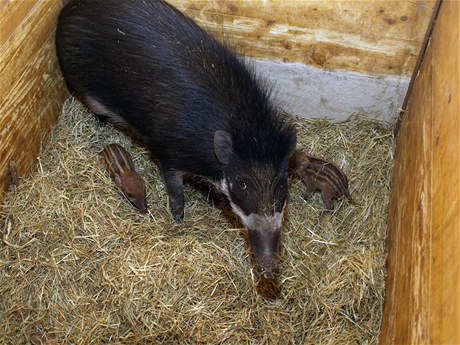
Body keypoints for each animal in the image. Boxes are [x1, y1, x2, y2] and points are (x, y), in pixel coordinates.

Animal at [54, 0, 298, 276]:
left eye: (282, 184)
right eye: (242, 183)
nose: (269, 267)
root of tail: (67, 11)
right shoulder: (166, 153)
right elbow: (176, 194)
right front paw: (178, 221)